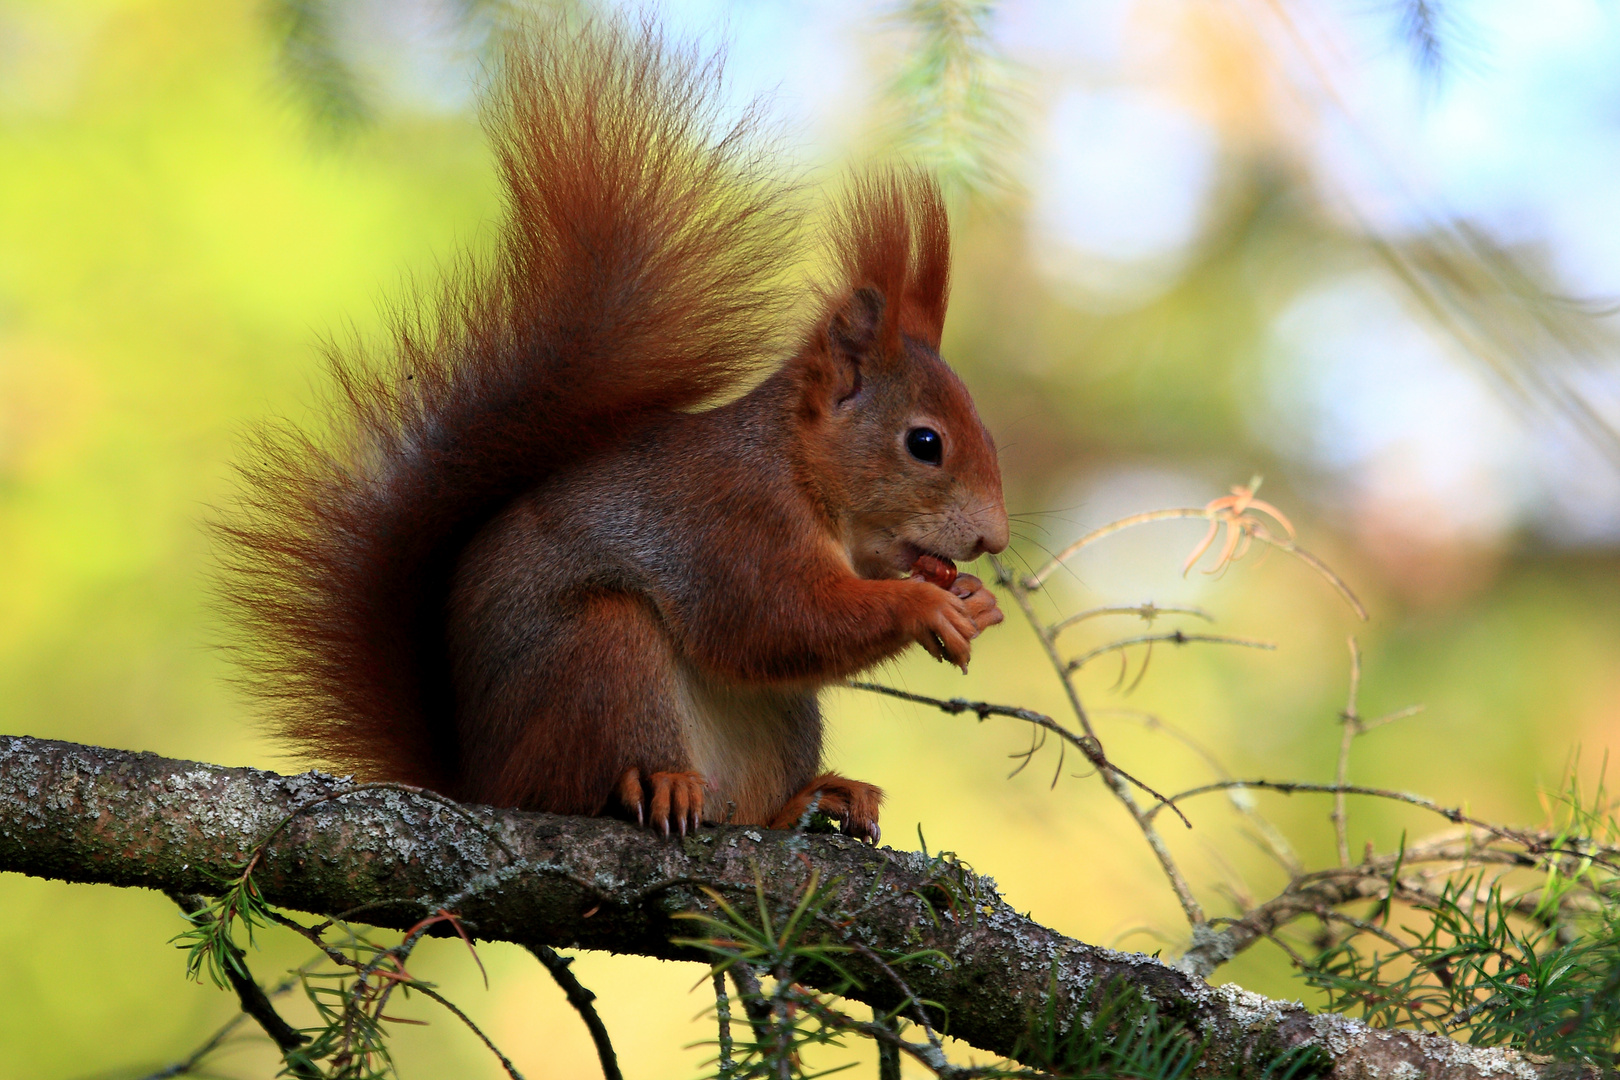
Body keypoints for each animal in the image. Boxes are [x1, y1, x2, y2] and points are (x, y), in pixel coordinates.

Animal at [221, 19, 1004, 841]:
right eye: (925, 444)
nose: (995, 538)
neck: (795, 467)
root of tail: (479, 781)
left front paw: (976, 602)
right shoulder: (731, 524)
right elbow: (776, 621)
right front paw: (925, 606)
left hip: (776, 724)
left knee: (751, 809)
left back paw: (817, 797)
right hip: (601, 653)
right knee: (576, 783)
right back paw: (658, 785)